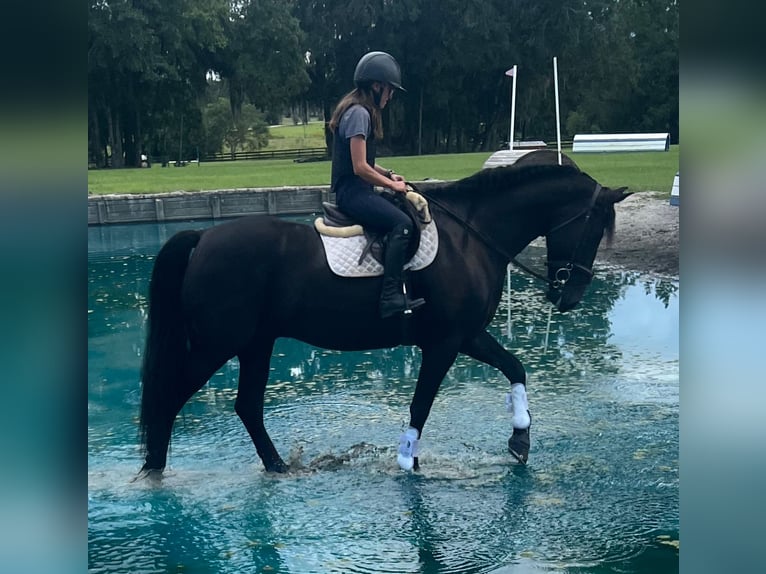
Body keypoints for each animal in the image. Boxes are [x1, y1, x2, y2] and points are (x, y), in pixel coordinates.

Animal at [138, 159, 630, 476]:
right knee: (171, 398)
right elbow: (422, 404)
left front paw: (520, 441)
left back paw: (277, 468)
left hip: (255, 344)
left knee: (247, 407)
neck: (469, 239)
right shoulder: (445, 343)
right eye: (593, 229)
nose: (570, 297)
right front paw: (408, 461)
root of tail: (203, 238)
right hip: (216, 345)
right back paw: (154, 475)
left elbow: (515, 367)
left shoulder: (468, 336)